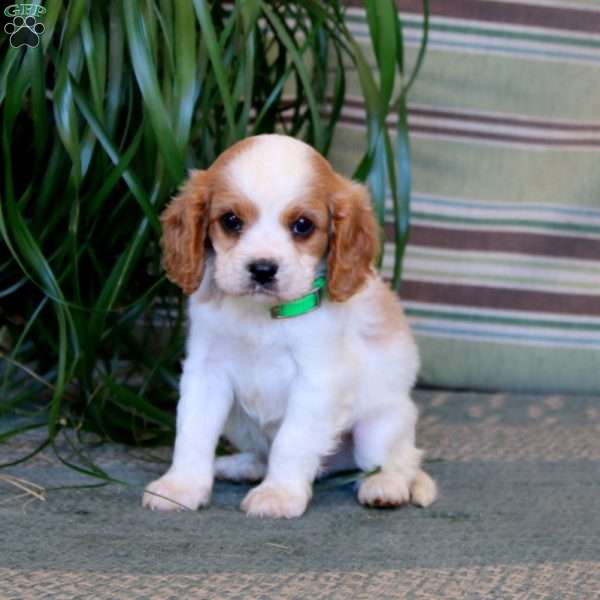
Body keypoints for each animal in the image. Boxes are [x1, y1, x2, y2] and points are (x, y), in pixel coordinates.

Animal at [143, 134, 438, 516]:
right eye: (231, 221)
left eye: (302, 225)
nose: (262, 269)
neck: (263, 316)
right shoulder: (205, 372)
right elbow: (192, 432)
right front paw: (180, 486)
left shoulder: (316, 381)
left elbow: (292, 441)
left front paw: (279, 494)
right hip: (239, 422)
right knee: (262, 452)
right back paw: (242, 465)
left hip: (380, 426)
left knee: (398, 461)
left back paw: (384, 486)